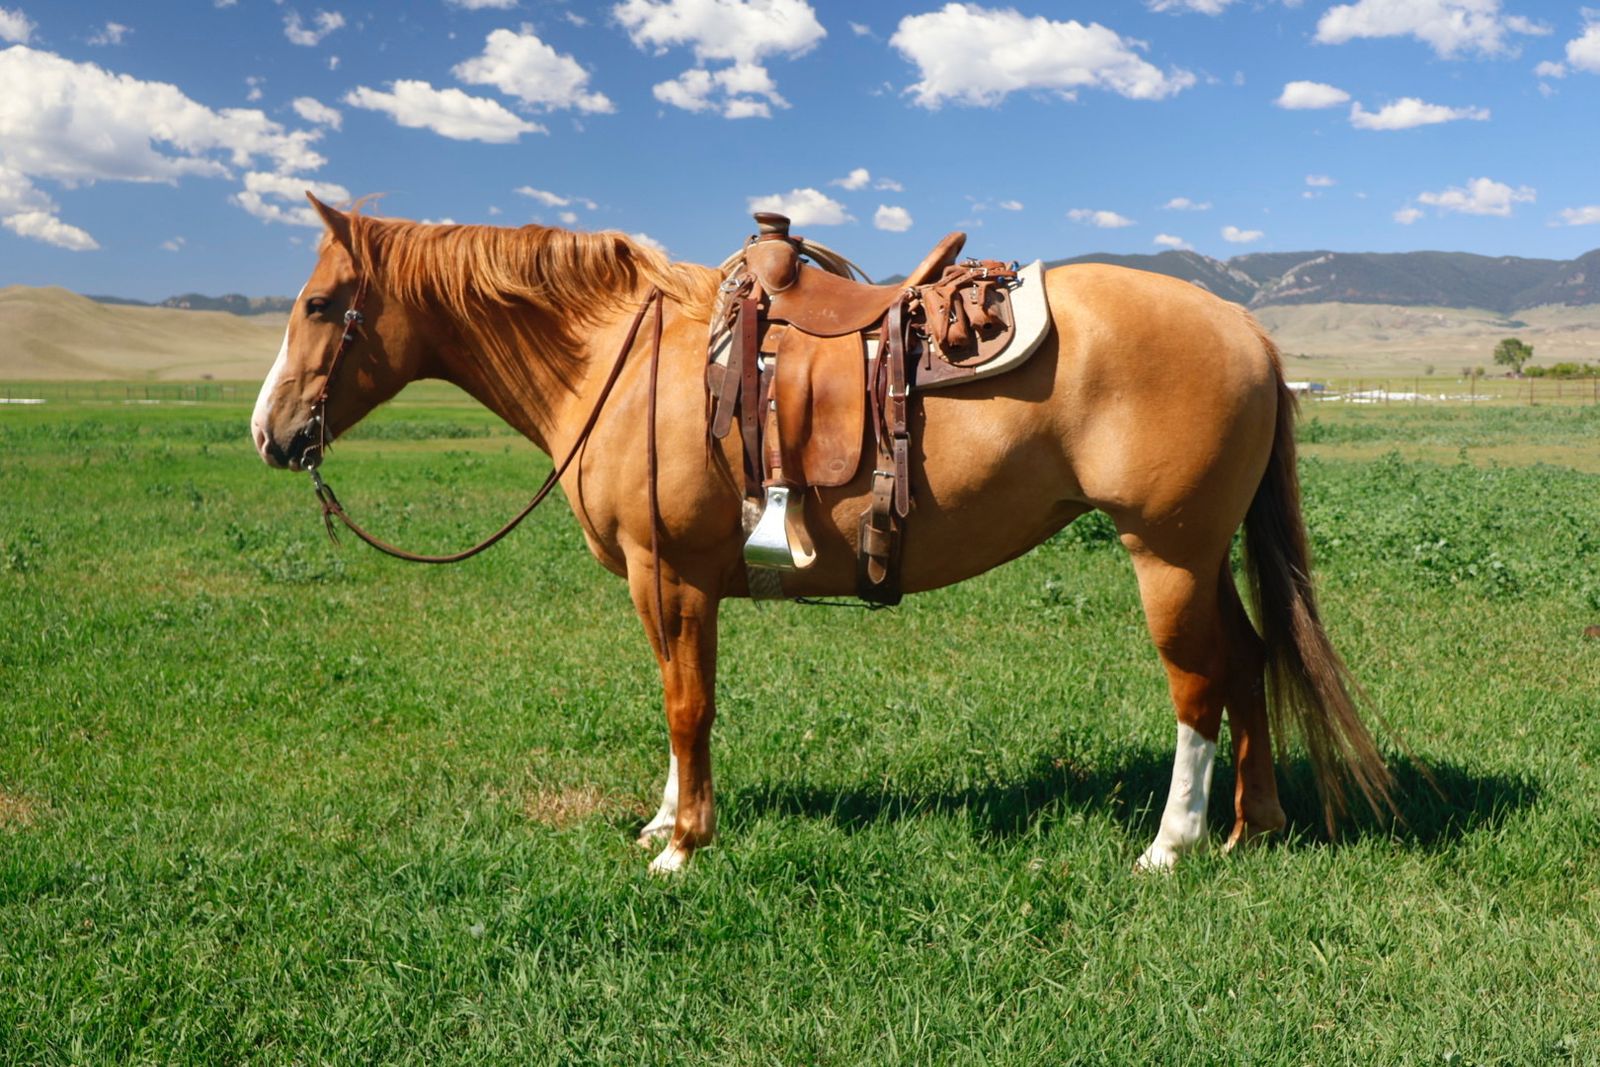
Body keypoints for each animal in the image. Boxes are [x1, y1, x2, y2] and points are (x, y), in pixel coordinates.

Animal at [251, 195, 1393, 874]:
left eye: (318, 302)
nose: (271, 433)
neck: (623, 359)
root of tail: (1247, 329)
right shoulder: (664, 584)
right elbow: (674, 702)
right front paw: (665, 818)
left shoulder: (670, 574)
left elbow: (687, 704)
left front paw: (683, 847)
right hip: (1203, 555)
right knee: (1248, 660)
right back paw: (1253, 823)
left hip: (1166, 554)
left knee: (1197, 683)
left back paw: (1172, 841)